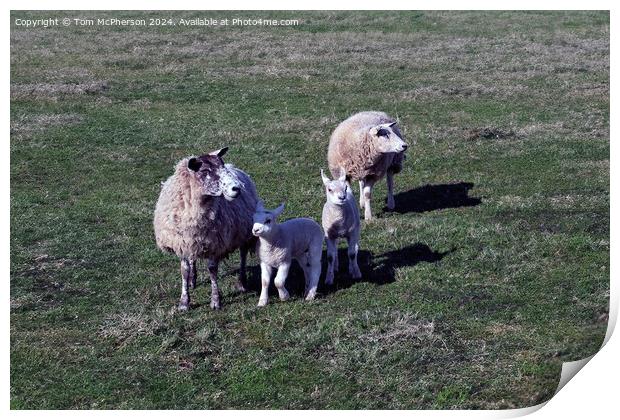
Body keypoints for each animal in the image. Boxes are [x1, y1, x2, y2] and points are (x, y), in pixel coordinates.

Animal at [154, 148, 258, 312]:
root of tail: (234, 166)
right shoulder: (182, 243)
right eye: (205, 170)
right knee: (193, 259)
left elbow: (212, 270)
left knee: (243, 254)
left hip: (244, 231)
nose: (237, 188)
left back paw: (242, 282)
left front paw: (215, 300)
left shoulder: (214, 243)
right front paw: (184, 302)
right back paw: (193, 280)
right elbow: (184, 270)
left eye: (221, 165)